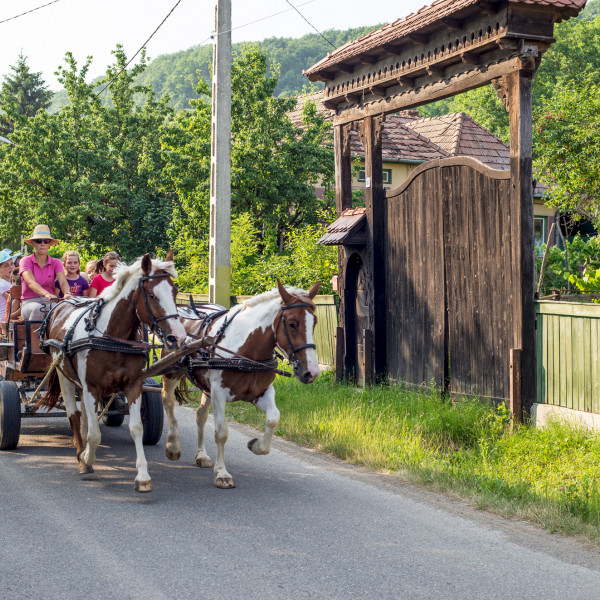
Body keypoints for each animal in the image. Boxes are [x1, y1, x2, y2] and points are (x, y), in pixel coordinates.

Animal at [159, 282, 318, 488]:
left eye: (314, 322)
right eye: (291, 323)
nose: (312, 372)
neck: (245, 352)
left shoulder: (261, 392)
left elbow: (273, 418)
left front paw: (257, 446)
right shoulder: (219, 393)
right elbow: (221, 432)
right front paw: (222, 473)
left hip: (206, 387)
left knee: (200, 416)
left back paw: (201, 455)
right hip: (171, 373)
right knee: (168, 402)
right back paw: (173, 446)